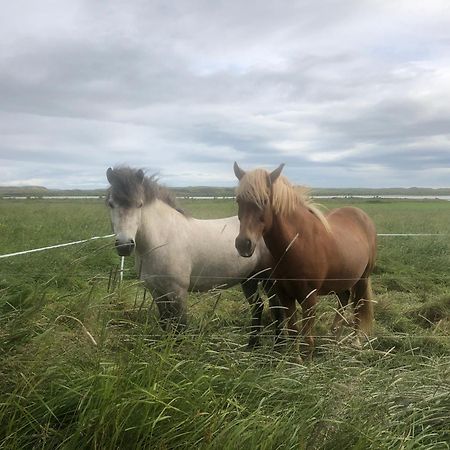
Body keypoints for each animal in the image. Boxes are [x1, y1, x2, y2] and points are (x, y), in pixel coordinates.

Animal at [106, 167, 282, 346]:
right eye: (111, 204)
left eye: (140, 204)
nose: (124, 245)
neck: (162, 239)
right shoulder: (157, 291)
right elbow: (165, 322)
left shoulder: (178, 292)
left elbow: (180, 326)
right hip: (249, 278)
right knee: (258, 306)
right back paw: (252, 344)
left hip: (269, 279)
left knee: (276, 307)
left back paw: (278, 344)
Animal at [232, 163, 376, 358]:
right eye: (238, 200)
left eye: (264, 201)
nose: (243, 244)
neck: (297, 244)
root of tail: (361, 215)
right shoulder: (285, 295)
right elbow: (293, 331)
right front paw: (295, 360)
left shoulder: (309, 297)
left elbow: (307, 337)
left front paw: (306, 361)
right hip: (342, 279)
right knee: (343, 299)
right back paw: (334, 339)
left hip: (362, 278)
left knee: (358, 306)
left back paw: (355, 342)